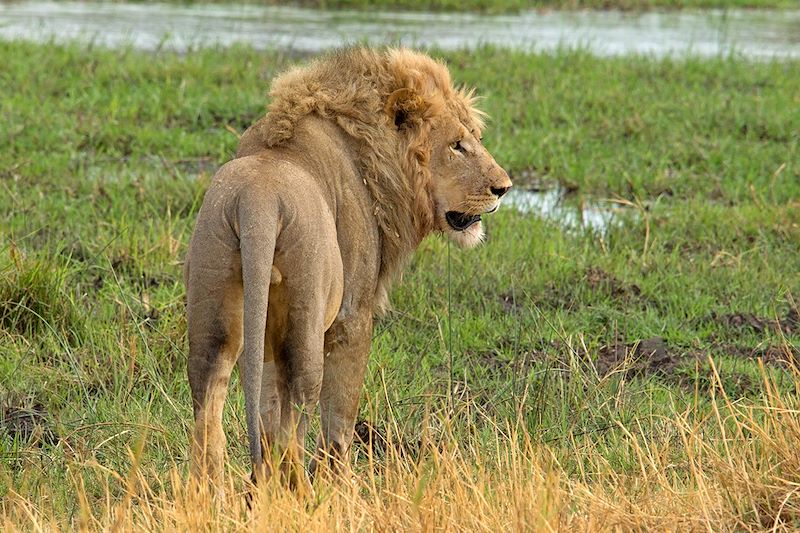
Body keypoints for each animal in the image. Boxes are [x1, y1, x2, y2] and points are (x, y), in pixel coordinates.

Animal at [185, 46, 512, 486]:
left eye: (476, 139)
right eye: (457, 145)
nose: (504, 187)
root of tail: (257, 201)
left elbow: (268, 407)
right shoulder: (352, 316)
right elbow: (340, 413)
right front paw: (339, 481)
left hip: (215, 313)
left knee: (211, 405)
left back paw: (213, 493)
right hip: (306, 318)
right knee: (298, 412)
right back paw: (298, 490)